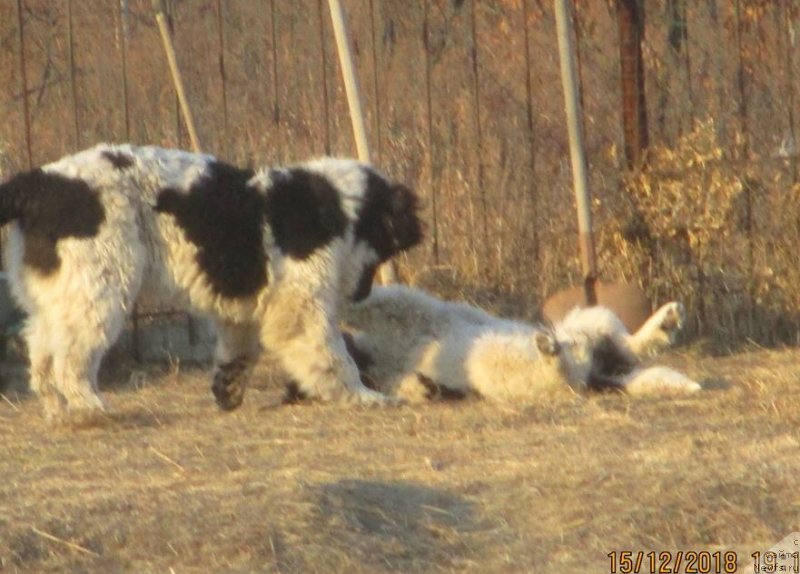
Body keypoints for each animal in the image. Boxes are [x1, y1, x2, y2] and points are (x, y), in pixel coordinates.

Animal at [0, 144, 424, 420]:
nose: (363, 293)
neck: (337, 209)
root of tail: (37, 183)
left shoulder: (244, 307)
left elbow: (239, 353)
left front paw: (227, 391)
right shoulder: (301, 306)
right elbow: (335, 358)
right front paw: (364, 397)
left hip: (57, 294)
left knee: (42, 354)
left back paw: (59, 411)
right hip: (99, 287)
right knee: (70, 359)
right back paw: (90, 408)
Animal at [334, 284, 704, 402]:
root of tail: (596, 369)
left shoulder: (406, 307)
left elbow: (368, 300)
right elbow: (400, 382)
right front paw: (423, 387)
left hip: (592, 320)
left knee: (627, 343)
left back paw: (666, 322)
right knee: (575, 372)